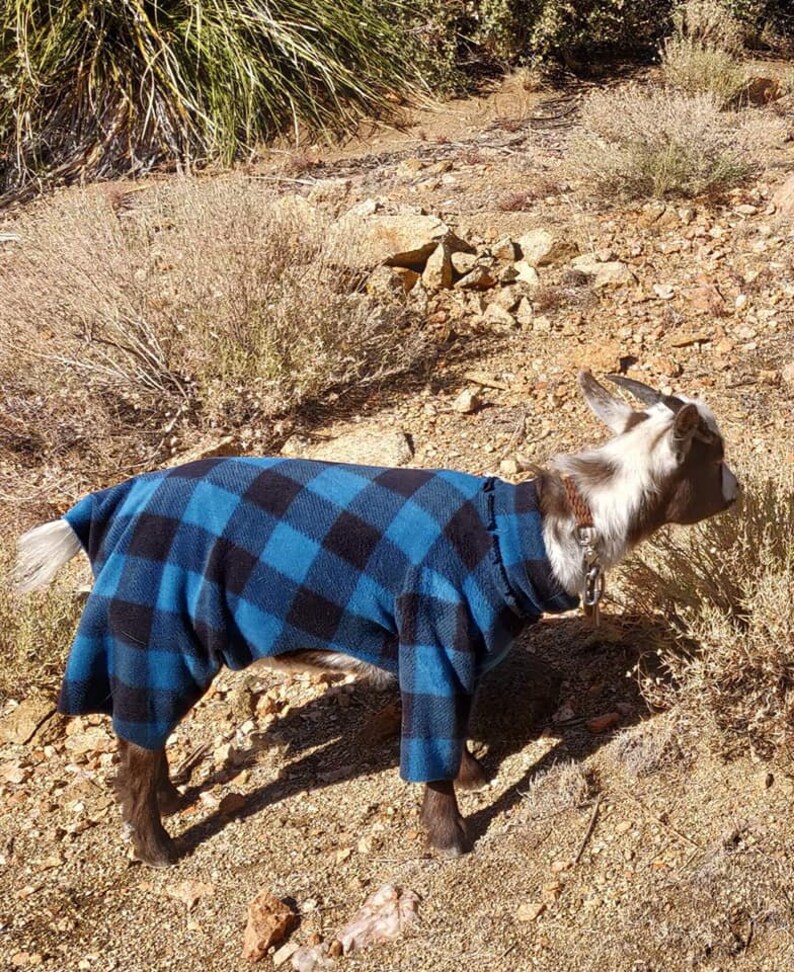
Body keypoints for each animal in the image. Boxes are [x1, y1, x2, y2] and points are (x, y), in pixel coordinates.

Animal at [15, 372, 738, 867]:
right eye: (716, 454)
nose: (738, 492)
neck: (531, 529)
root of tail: (108, 505)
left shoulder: (450, 652)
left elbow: (452, 726)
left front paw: (476, 774)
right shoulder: (434, 635)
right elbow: (431, 748)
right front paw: (451, 838)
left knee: (143, 730)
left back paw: (169, 802)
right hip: (160, 627)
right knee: (136, 743)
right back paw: (158, 846)